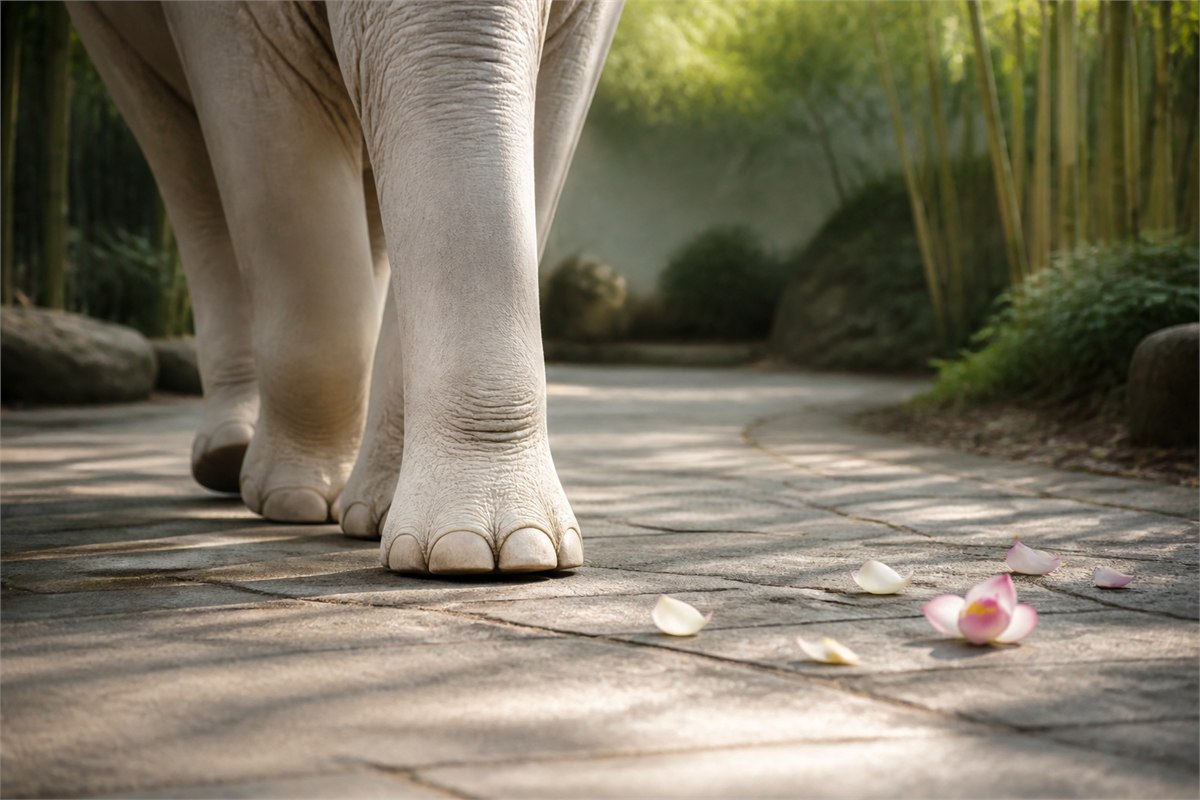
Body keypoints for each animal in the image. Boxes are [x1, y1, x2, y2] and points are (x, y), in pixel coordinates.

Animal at [67, 1, 622, 574]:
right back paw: (237, 463)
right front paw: (298, 502)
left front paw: (500, 551)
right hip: (110, 40)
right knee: (188, 165)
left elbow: (548, 126)